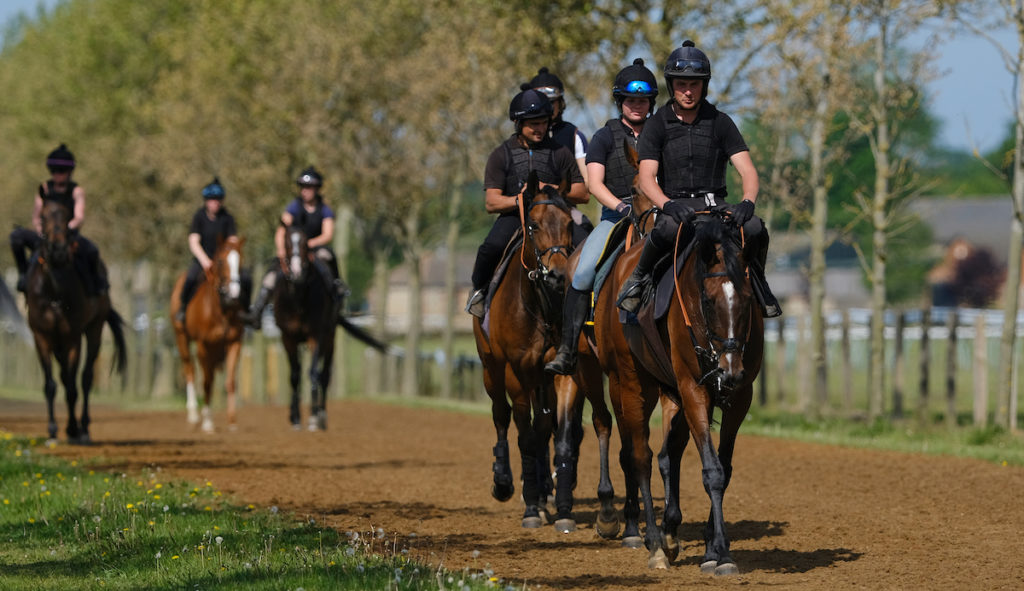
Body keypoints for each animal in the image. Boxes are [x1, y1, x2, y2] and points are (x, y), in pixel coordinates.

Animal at [25, 199, 127, 442]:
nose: (58, 251)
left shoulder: (73, 337)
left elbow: (73, 387)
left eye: (68, 215)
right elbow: (51, 384)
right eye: (42, 216)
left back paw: (84, 428)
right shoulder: (42, 337)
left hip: (94, 329)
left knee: (86, 377)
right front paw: (52, 430)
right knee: (64, 377)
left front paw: (73, 429)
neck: (54, 293)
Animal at [171, 235, 246, 434]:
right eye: (220, 261)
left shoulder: (234, 343)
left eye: (240, 260)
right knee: (189, 370)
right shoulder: (203, 344)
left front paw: (232, 421)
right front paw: (207, 421)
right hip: (182, 338)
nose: (234, 293)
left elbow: (230, 382)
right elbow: (207, 381)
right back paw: (193, 414)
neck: (220, 309)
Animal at [274, 223, 389, 430]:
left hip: (330, 339)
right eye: (286, 242)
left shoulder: (316, 336)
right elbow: (294, 376)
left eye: (305, 243)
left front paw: (313, 416)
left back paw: (322, 415)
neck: (299, 299)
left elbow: (313, 373)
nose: (296, 272)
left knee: (325, 375)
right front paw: (294, 417)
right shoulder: (288, 337)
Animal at [473, 169, 577, 524]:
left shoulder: (557, 371)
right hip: (491, 369)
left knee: (541, 426)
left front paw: (558, 505)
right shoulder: (516, 373)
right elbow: (525, 435)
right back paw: (503, 482)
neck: (538, 307)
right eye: (533, 224)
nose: (558, 276)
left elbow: (553, 430)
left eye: (569, 223)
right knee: (501, 416)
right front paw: (531, 504)